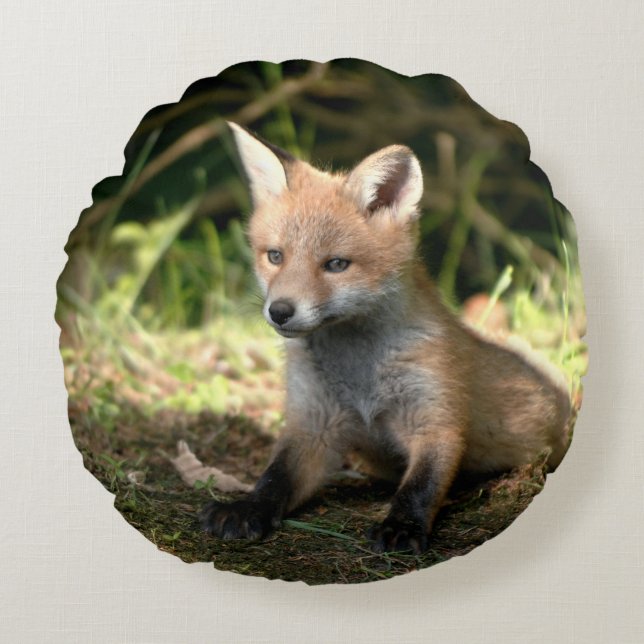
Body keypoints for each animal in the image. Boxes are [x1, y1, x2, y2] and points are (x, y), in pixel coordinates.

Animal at [199, 122, 572, 553]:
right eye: (275, 256)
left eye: (336, 264)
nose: (280, 311)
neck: (360, 371)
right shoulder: (312, 424)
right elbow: (276, 477)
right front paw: (247, 508)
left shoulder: (435, 418)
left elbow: (421, 485)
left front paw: (403, 526)